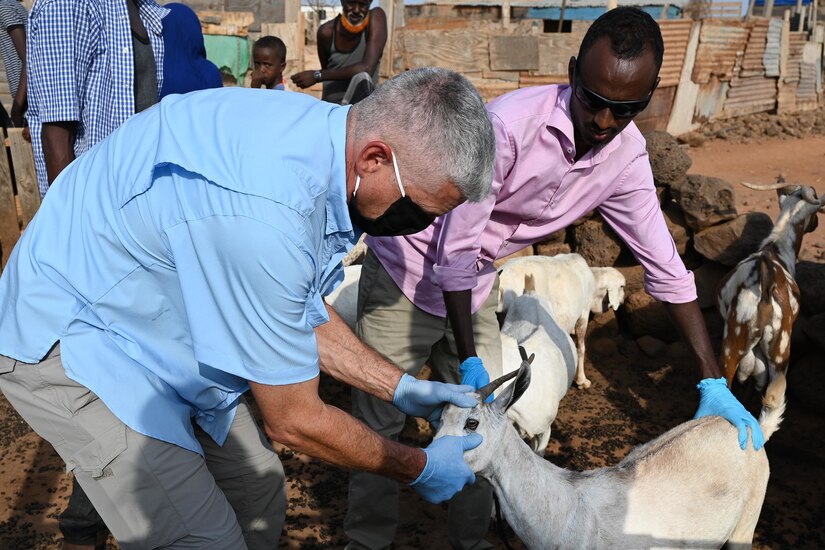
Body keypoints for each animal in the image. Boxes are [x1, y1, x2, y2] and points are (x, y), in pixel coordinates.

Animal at [438, 362, 784, 550]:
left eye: (472, 423)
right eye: (439, 418)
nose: (434, 458)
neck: (567, 510)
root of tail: (754, 428)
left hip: (746, 523)